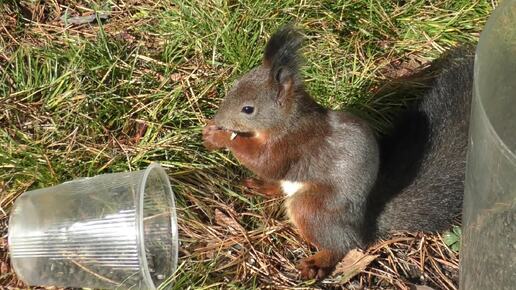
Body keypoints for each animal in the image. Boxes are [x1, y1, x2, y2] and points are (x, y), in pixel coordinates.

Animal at [201, 26, 472, 280]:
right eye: (234, 86)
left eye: (248, 109)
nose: (219, 119)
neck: (289, 119)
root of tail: (362, 226)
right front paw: (212, 130)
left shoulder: (294, 145)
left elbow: (266, 162)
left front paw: (220, 137)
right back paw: (259, 186)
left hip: (312, 208)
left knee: (339, 246)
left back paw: (317, 263)